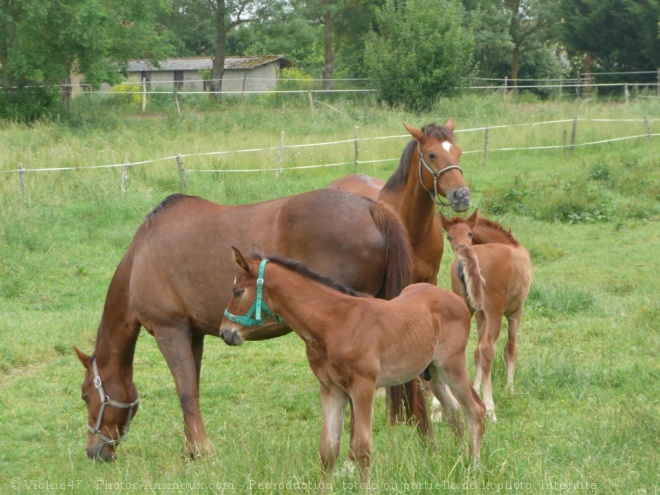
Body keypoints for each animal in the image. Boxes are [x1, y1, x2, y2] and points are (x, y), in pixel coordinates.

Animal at [72, 189, 416, 462]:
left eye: (86, 396)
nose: (94, 452)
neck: (141, 253)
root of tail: (370, 207)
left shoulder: (170, 332)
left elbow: (185, 393)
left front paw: (201, 451)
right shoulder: (193, 336)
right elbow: (193, 388)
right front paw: (191, 449)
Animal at [220, 246, 484, 486]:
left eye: (238, 291)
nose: (226, 332)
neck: (334, 323)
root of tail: (457, 300)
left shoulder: (363, 386)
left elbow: (362, 448)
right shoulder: (331, 389)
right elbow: (328, 450)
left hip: (452, 365)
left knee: (475, 410)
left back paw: (473, 467)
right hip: (432, 373)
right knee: (454, 412)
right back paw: (457, 460)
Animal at [440, 209, 532, 422]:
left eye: (470, 233)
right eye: (449, 236)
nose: (459, 248)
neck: (512, 247)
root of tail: (466, 257)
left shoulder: (480, 315)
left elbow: (475, 354)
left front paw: (475, 389)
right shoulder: (515, 312)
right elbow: (510, 350)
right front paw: (509, 389)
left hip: (466, 309)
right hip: (495, 313)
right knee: (489, 349)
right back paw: (490, 409)